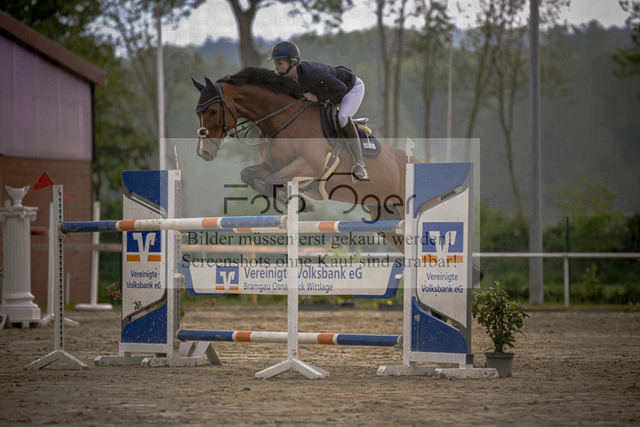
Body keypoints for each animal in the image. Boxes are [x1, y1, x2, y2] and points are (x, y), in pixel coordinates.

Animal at [191, 67, 419, 251]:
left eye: (213, 111)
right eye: (197, 113)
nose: (204, 152)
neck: (282, 119)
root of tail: (414, 160)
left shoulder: (309, 166)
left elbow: (271, 181)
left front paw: (302, 203)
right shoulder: (271, 165)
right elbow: (248, 175)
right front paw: (297, 201)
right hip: (387, 219)